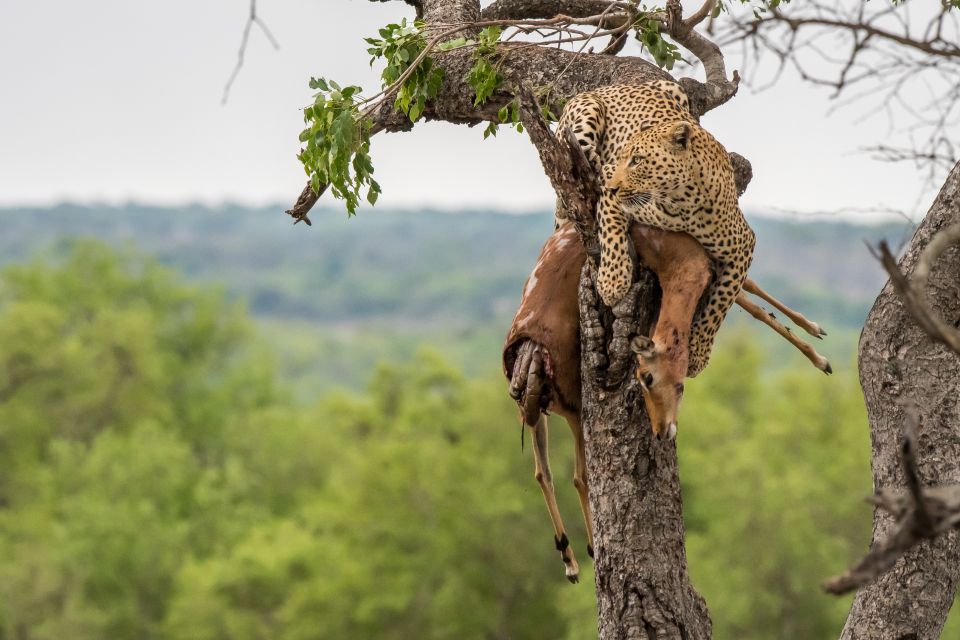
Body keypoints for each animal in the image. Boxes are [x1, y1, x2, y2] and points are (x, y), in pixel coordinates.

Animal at [556, 80, 756, 376]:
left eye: (637, 160)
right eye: (623, 158)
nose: (612, 185)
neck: (683, 200)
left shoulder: (743, 245)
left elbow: (721, 303)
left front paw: (698, 353)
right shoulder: (611, 189)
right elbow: (612, 232)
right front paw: (613, 282)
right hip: (585, 114)